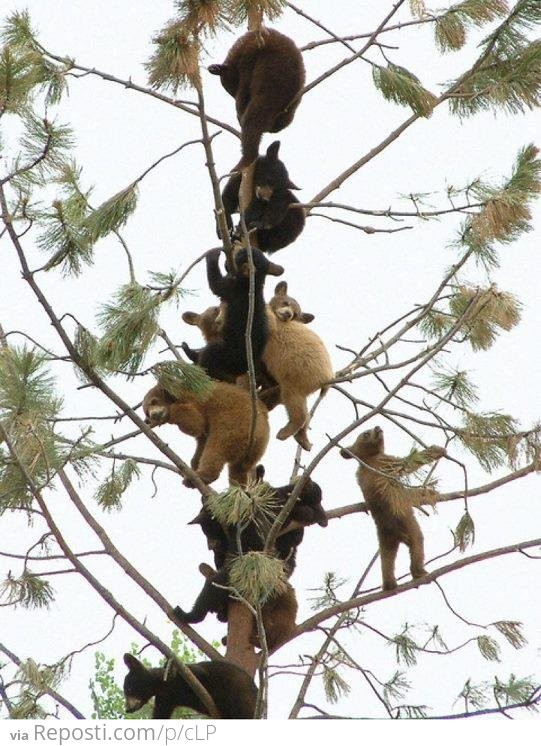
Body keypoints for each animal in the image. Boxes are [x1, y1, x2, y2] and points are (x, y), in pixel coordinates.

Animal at [340, 428, 446, 588]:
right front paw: (437, 450)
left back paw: (389, 585)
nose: (377, 427)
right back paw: (420, 573)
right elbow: (410, 462)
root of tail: (396, 534)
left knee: (386, 560)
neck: (367, 459)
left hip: (384, 538)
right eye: (366, 433)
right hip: (409, 525)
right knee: (417, 544)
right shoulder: (387, 462)